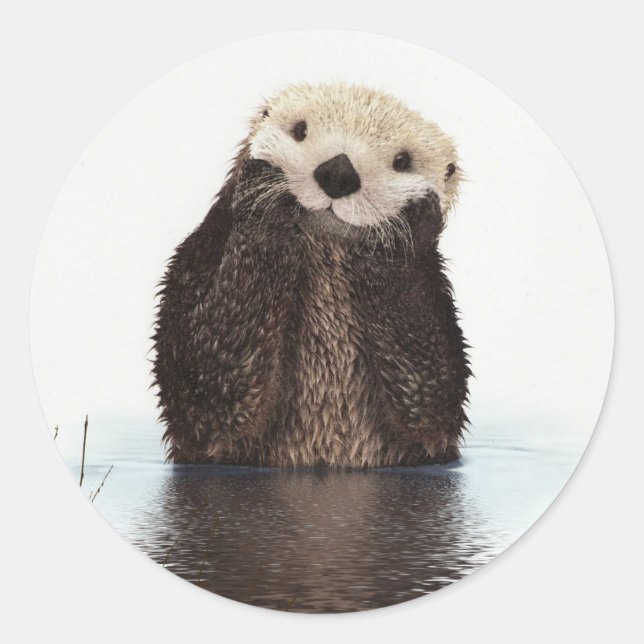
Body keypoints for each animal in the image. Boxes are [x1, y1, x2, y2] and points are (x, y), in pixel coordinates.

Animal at [153, 82, 470, 467]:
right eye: (300, 130)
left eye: (402, 161)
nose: (339, 172)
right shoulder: (197, 261)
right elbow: (207, 386)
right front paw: (264, 194)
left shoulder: (436, 304)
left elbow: (431, 400)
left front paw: (404, 228)